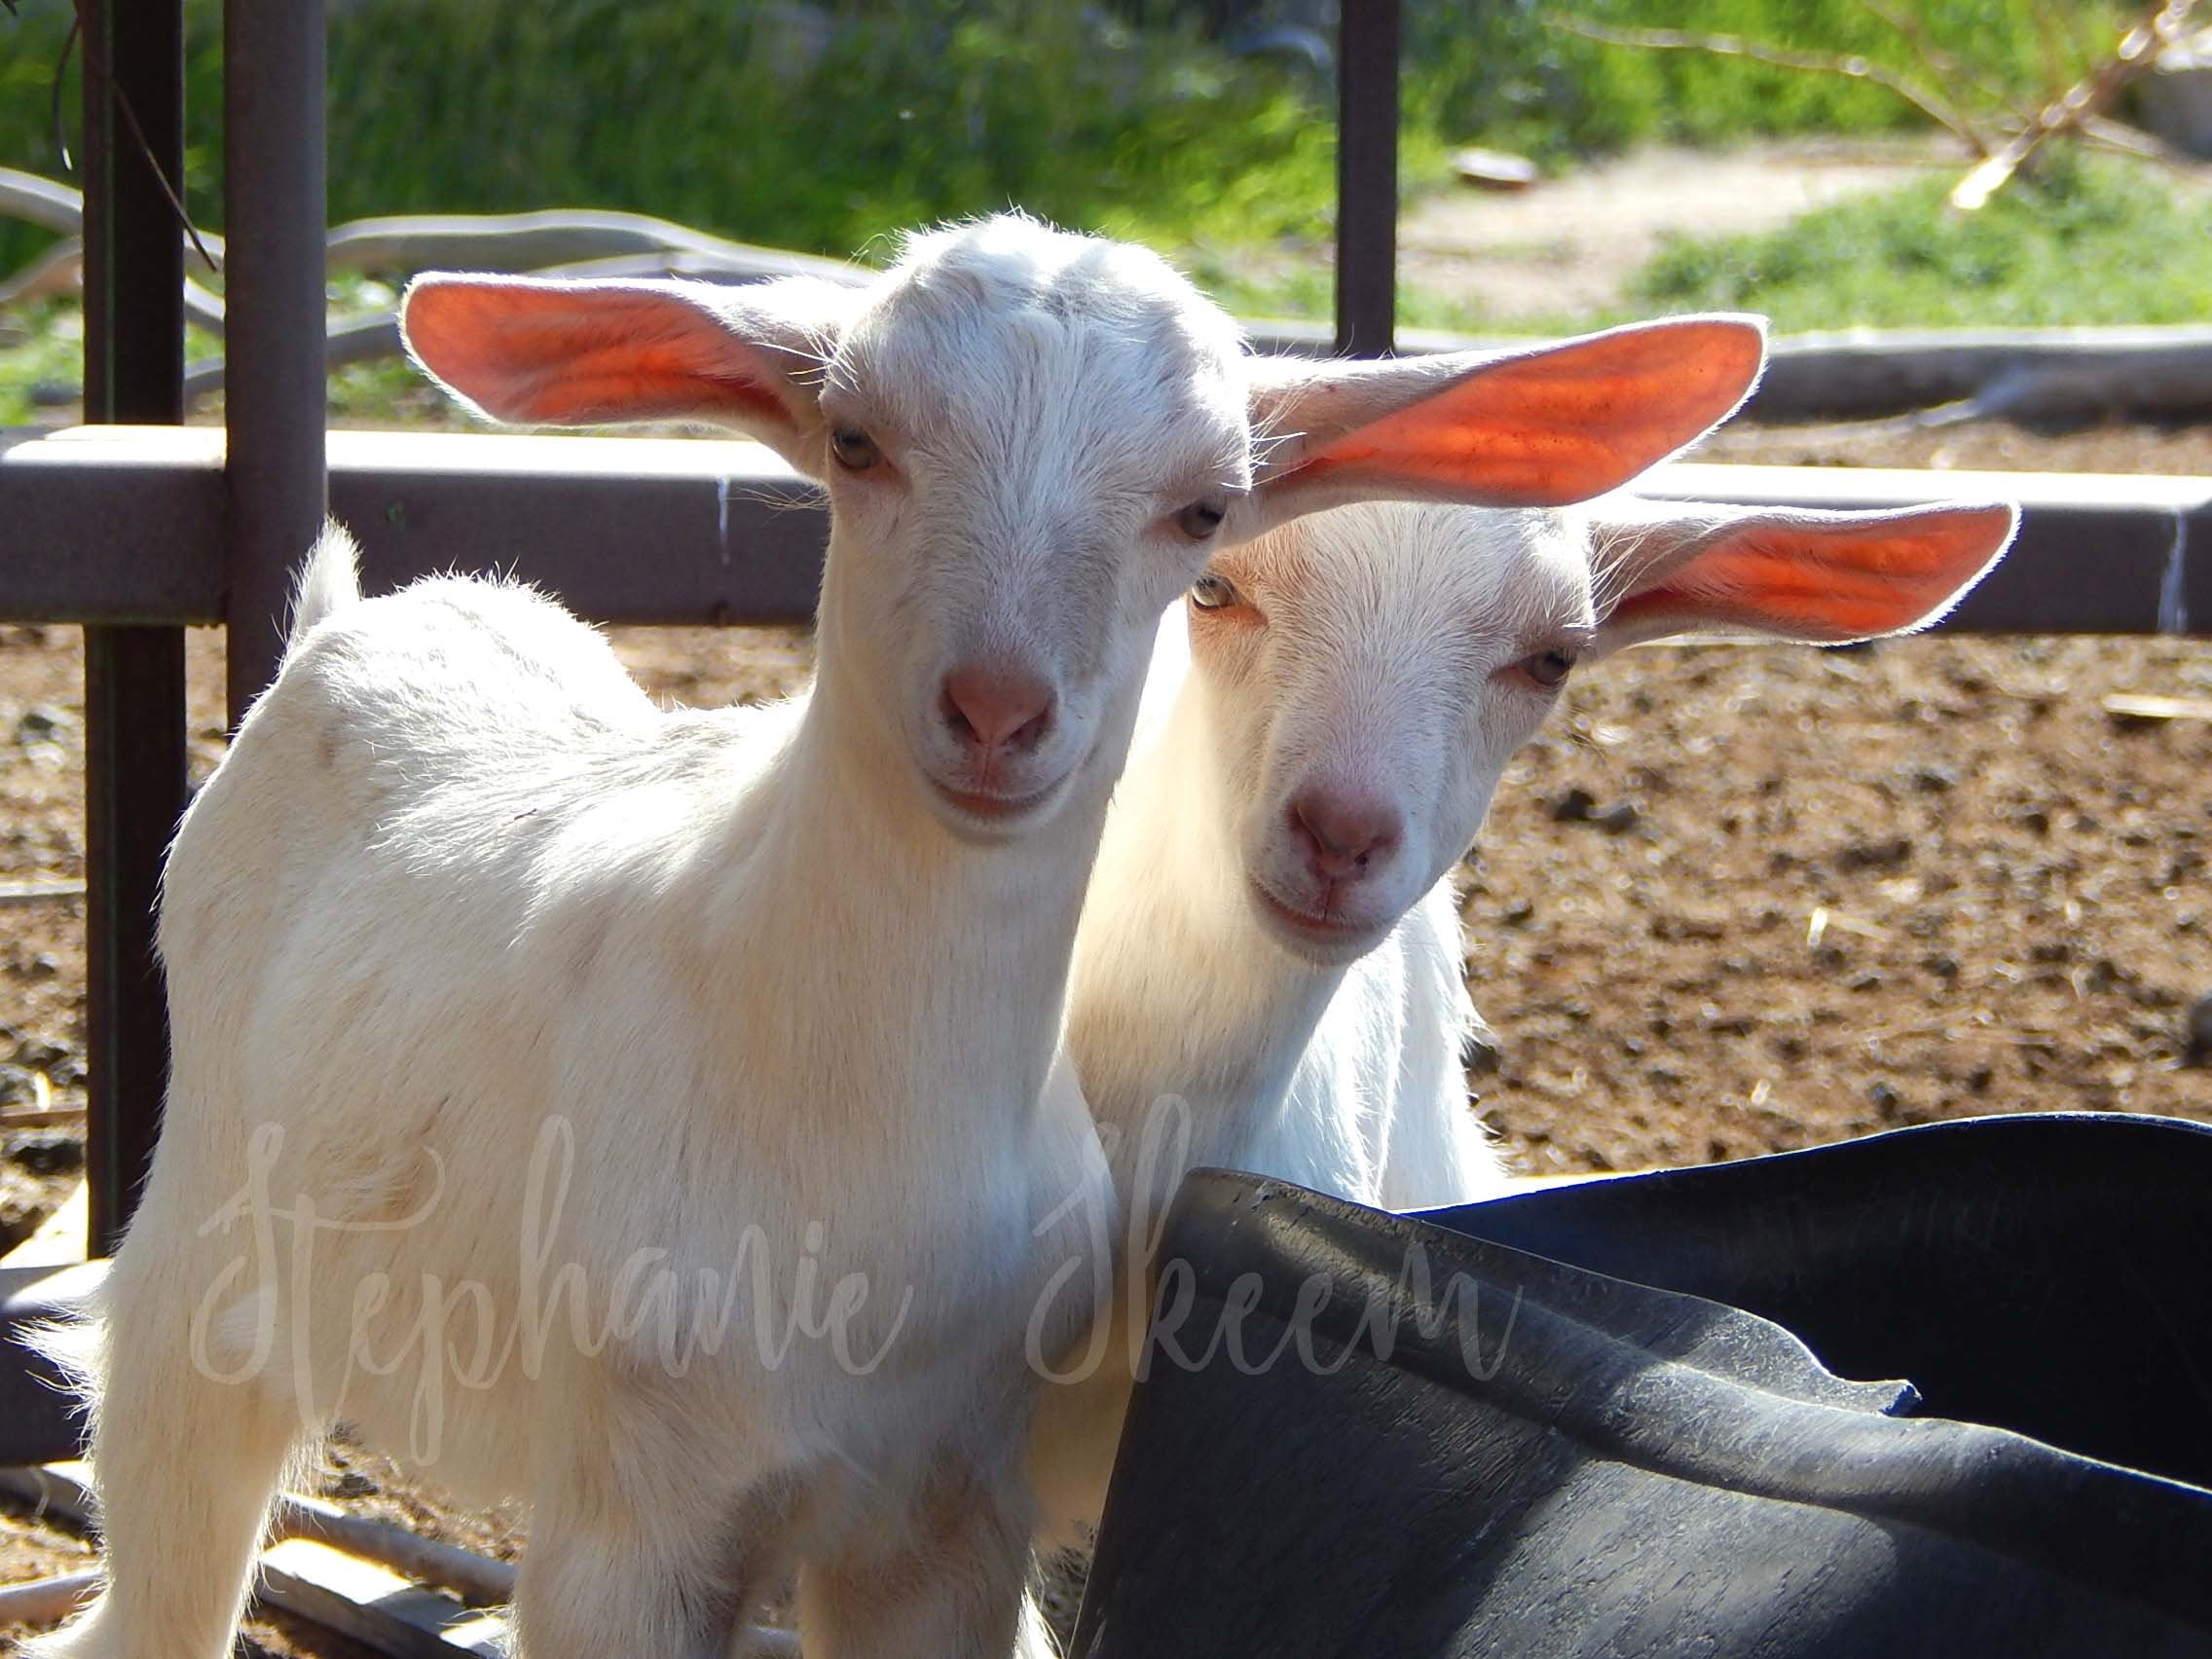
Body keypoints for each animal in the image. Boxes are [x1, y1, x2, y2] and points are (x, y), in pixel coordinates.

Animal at [27, 213, 1766, 1659]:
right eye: (853, 443)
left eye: (1202, 509)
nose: (997, 711)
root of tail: (348, 621)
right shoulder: (629, 1518)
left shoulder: (942, 1510)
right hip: (200, 1261)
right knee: (160, 1559)